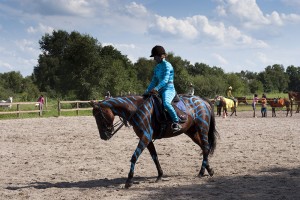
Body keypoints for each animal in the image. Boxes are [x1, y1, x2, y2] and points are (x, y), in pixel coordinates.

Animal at [89, 94, 218, 188]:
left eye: (99, 116)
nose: (103, 136)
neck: (136, 108)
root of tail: (202, 101)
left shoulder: (145, 137)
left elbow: (134, 157)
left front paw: (129, 180)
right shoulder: (147, 139)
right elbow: (154, 157)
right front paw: (160, 175)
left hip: (202, 129)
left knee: (205, 147)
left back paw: (201, 172)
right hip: (192, 132)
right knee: (204, 148)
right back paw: (209, 170)